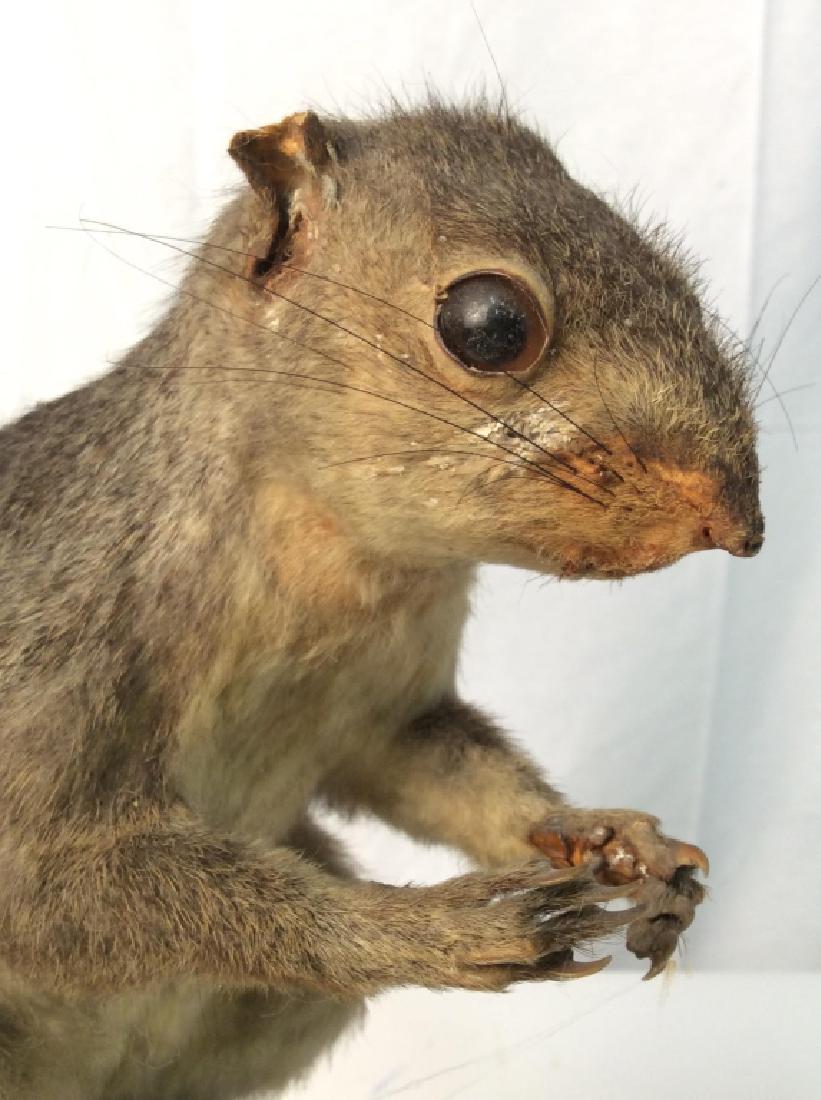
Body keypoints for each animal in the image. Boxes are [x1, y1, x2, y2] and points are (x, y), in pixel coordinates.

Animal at [0, 102, 762, 1100]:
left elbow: (432, 765)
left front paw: (610, 837)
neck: (341, 576)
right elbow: (40, 879)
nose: (743, 522)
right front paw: (429, 929)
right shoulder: (64, 634)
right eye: (489, 325)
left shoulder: (386, 705)